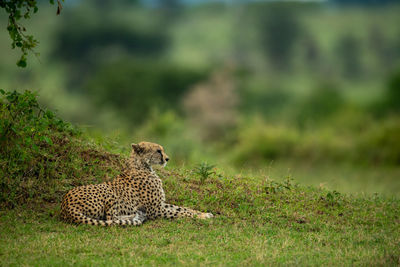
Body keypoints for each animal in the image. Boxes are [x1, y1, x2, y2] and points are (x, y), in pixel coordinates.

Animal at [59, 142, 214, 226]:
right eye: (158, 151)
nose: (167, 159)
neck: (142, 166)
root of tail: (65, 205)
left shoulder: (160, 204)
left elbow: (183, 208)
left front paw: (203, 213)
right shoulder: (155, 210)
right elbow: (180, 212)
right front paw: (201, 217)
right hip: (108, 191)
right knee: (111, 219)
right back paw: (135, 216)